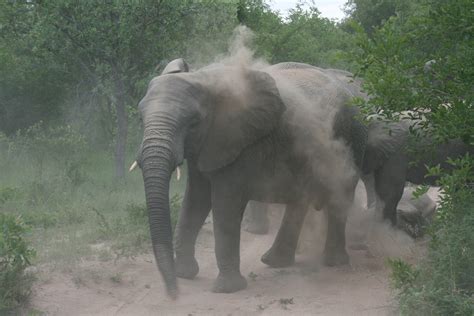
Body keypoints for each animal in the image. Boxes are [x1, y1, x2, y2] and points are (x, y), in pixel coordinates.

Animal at [131, 58, 368, 298]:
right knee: (301, 200)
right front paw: (184, 274)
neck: (203, 79)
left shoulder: (239, 142)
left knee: (340, 193)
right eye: (141, 118)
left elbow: (225, 205)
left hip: (347, 140)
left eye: (193, 121)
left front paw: (226, 289)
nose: (173, 293)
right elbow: (195, 200)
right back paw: (275, 262)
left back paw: (333, 263)